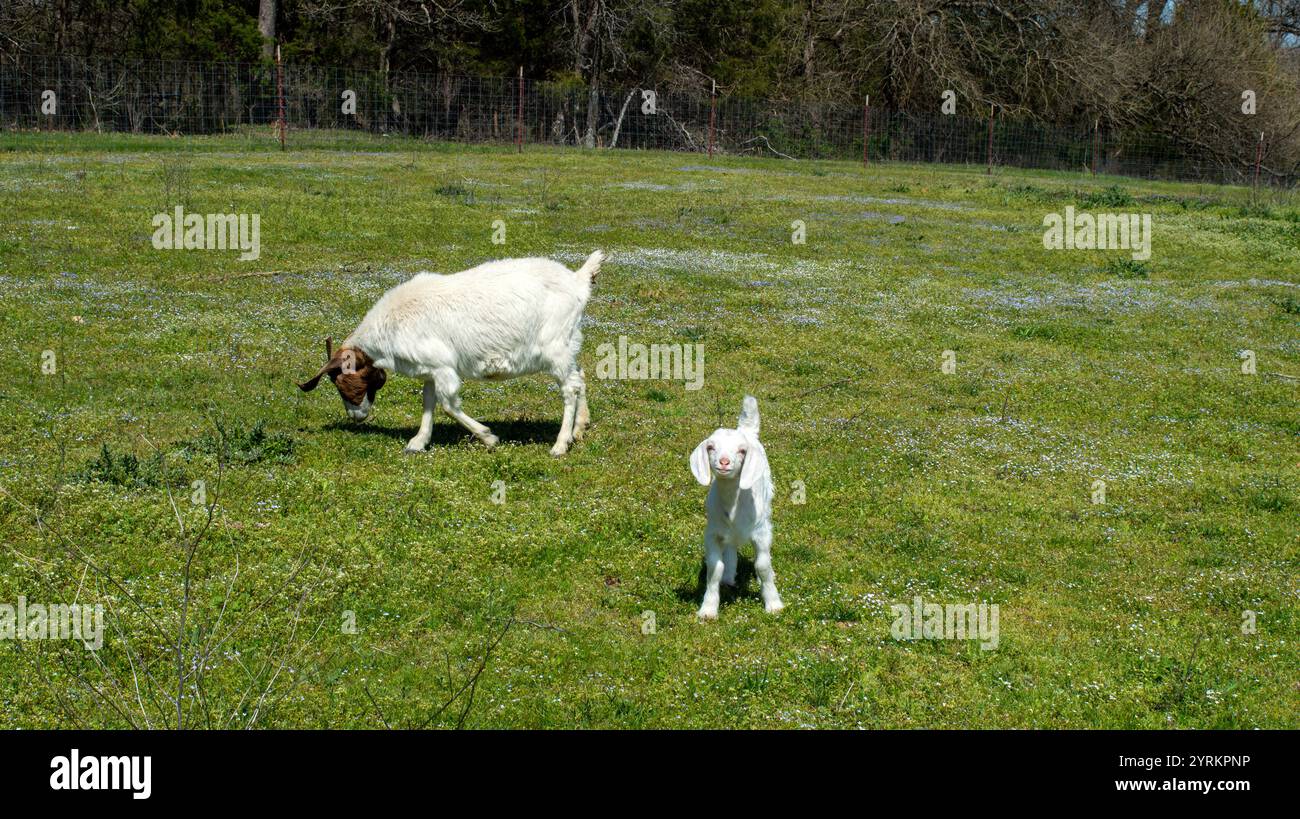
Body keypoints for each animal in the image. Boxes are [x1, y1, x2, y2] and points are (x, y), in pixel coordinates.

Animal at [297, 251, 603, 456]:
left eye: (341, 383)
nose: (355, 417)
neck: (392, 323)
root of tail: (577, 281)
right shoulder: (429, 369)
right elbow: (428, 401)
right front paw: (418, 442)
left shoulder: (443, 367)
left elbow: (448, 404)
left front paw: (488, 437)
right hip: (569, 343)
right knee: (579, 377)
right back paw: (579, 429)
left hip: (555, 345)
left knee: (569, 387)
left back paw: (560, 444)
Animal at [689, 395, 784, 619]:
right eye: (711, 447)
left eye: (742, 451)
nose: (724, 462)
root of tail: (746, 430)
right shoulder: (712, 533)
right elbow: (715, 568)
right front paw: (708, 609)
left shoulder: (761, 532)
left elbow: (763, 565)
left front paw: (773, 603)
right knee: (731, 547)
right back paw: (729, 576)